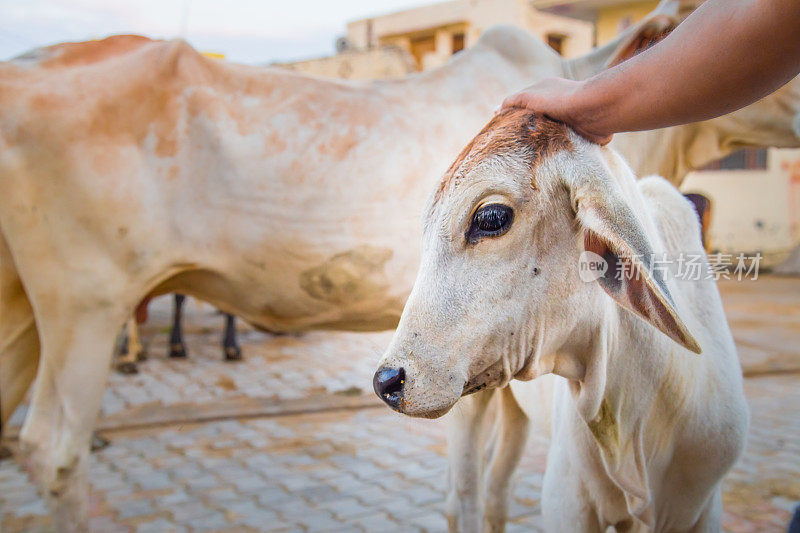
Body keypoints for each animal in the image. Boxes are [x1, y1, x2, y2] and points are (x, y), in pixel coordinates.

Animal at [376, 109, 752, 532]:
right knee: (464, 497)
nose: (387, 381)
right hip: (466, 412)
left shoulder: (701, 507)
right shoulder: (568, 498)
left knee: (496, 491)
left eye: (491, 217)